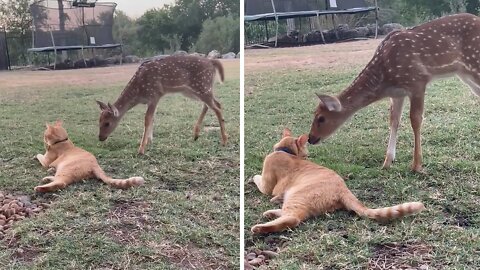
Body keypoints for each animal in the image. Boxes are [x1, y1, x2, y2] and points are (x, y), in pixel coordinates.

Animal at [251, 129, 424, 234]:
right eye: (306, 155)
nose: (307, 157)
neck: (284, 151)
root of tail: (344, 189)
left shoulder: (266, 186)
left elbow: (256, 177)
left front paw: (252, 177)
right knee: (292, 214)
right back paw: (271, 211)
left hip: (296, 196)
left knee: (293, 218)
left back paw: (260, 227)